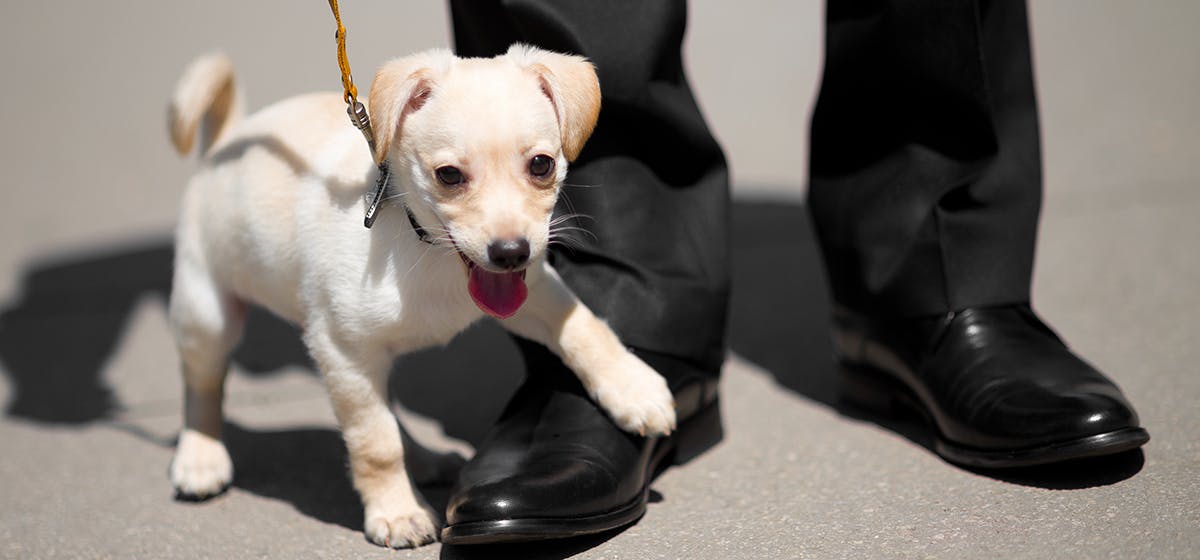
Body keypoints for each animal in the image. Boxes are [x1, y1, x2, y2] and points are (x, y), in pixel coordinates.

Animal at [166, 46, 676, 549]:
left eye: (541, 165)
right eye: (448, 175)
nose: (510, 252)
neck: (430, 252)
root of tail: (229, 141)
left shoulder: (532, 292)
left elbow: (583, 327)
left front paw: (634, 388)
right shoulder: (344, 352)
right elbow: (376, 443)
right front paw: (397, 512)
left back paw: (426, 459)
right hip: (207, 313)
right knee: (203, 385)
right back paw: (200, 458)